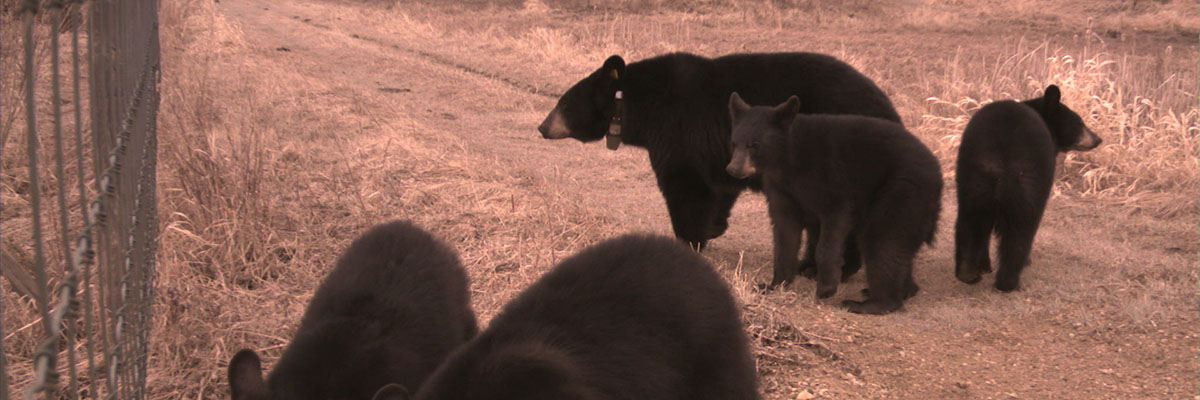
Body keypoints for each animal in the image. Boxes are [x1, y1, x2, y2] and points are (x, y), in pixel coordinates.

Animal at [538, 52, 901, 257]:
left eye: (564, 103)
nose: (542, 127)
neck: (635, 103)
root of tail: (891, 113)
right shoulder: (719, 150)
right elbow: (722, 186)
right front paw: (715, 226)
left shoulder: (680, 131)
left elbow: (685, 186)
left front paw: (689, 240)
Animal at [726, 93, 942, 315]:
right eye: (734, 143)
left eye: (755, 145)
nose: (733, 169)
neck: (788, 159)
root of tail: (937, 173)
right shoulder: (781, 187)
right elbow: (785, 231)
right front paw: (773, 284)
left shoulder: (830, 178)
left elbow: (833, 225)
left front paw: (825, 288)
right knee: (898, 245)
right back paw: (903, 290)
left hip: (900, 191)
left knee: (882, 240)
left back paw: (869, 303)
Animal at [954, 85, 1102, 292]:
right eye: (1079, 122)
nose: (1098, 139)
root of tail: (1000, 153)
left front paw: (984, 265)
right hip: (1027, 181)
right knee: (1022, 228)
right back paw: (1009, 281)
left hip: (972, 176)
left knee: (970, 220)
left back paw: (967, 272)